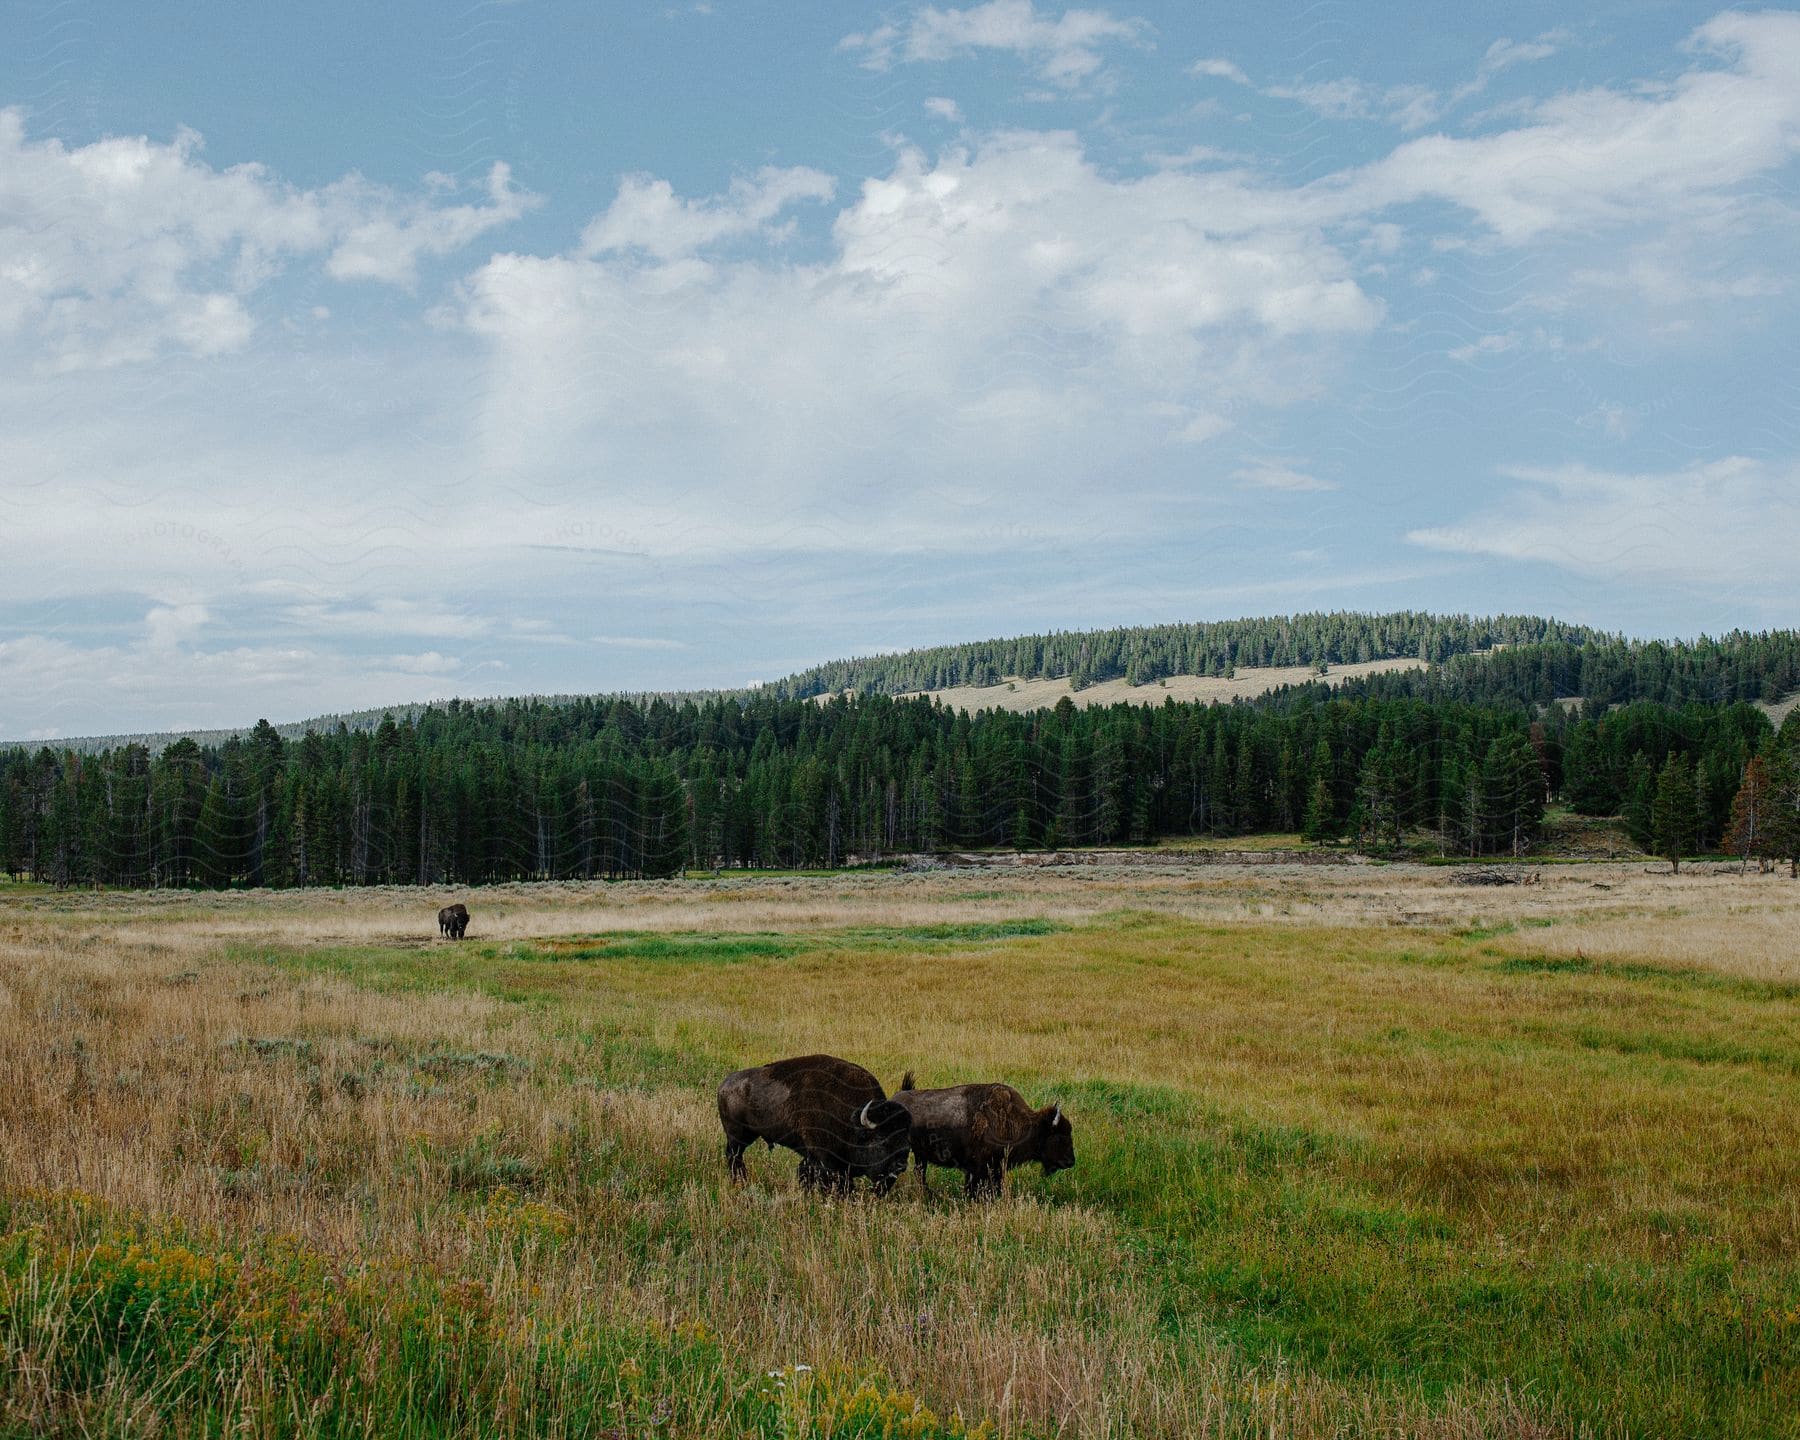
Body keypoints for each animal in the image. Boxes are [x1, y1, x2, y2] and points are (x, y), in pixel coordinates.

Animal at [716, 1051, 914, 1195]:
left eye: (905, 1137)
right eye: (881, 1138)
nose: (901, 1165)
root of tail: (725, 1084)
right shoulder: (825, 1159)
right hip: (737, 1137)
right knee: (734, 1157)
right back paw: (740, 1181)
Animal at [892, 1072, 1072, 1195]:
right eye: (1059, 1136)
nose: (1071, 1161)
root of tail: (896, 1098)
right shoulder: (979, 1169)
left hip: (919, 1155)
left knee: (920, 1172)